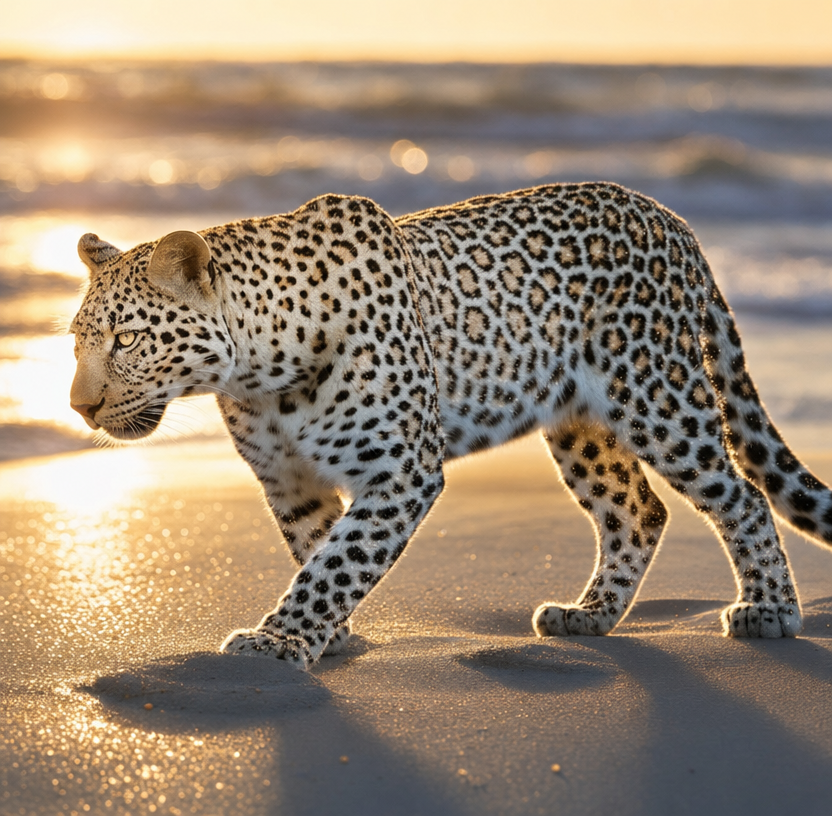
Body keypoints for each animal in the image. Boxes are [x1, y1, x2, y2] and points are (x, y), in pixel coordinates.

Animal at [69, 182, 832, 669]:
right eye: (77, 341)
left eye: (128, 339)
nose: (80, 407)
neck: (260, 373)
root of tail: (674, 220)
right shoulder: (290, 483)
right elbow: (317, 551)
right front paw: (325, 636)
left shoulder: (401, 469)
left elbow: (338, 562)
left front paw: (278, 643)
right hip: (580, 425)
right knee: (637, 510)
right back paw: (589, 615)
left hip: (659, 397)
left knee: (741, 496)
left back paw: (770, 612)